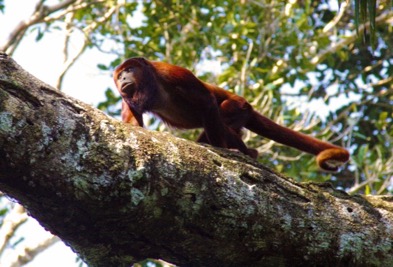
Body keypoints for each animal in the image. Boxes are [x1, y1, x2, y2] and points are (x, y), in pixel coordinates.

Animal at [113, 57, 350, 173]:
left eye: (130, 70)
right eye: (120, 75)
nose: (122, 78)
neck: (151, 83)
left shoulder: (172, 74)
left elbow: (207, 102)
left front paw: (222, 151)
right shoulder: (127, 97)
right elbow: (133, 123)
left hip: (240, 106)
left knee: (223, 118)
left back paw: (247, 152)